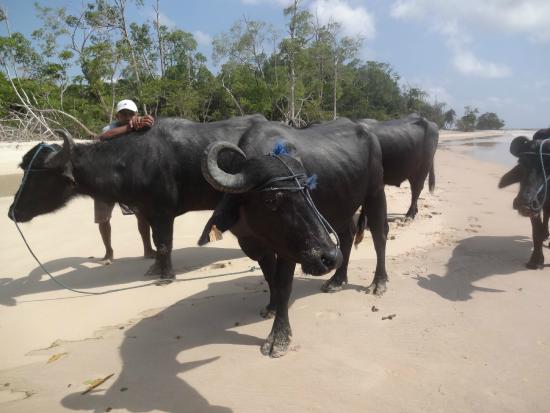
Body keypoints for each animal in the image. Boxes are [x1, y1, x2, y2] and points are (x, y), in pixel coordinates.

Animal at [7, 114, 268, 278]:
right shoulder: (148, 212)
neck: (131, 161)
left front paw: (166, 275)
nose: (12, 211)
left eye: (38, 176)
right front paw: (154, 269)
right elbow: (155, 240)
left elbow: (164, 243)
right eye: (24, 169)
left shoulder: (163, 212)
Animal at [198, 117, 388, 356]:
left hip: (375, 193)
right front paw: (271, 306)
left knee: (380, 236)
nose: (328, 258)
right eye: (272, 199)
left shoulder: (289, 249)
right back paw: (337, 280)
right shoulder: (257, 245)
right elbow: (270, 278)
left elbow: (283, 285)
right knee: (347, 237)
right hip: (342, 208)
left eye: (308, 191)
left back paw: (378, 283)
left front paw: (278, 337)